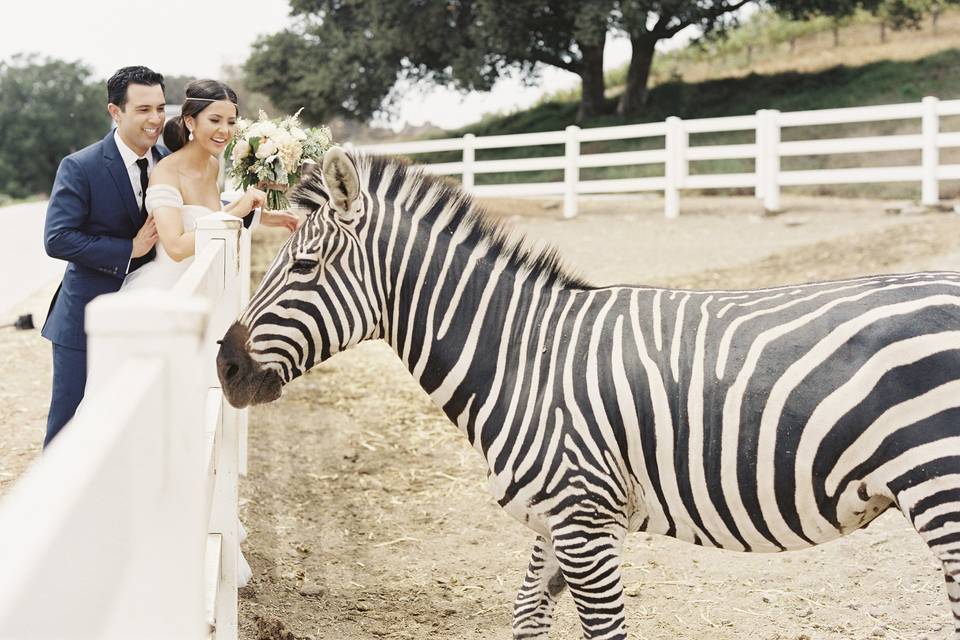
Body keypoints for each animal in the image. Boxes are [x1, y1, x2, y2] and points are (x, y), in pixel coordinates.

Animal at [218, 146, 960, 640]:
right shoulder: (560, 518)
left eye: (304, 267)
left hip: (941, 492)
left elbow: (602, 631)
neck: (522, 357)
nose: (224, 366)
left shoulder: (583, 521)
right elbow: (526, 615)